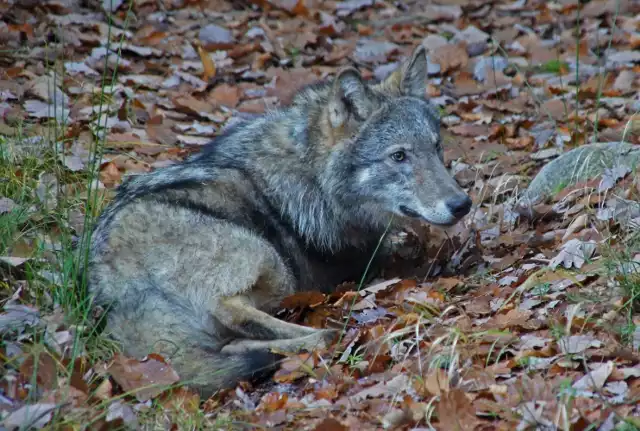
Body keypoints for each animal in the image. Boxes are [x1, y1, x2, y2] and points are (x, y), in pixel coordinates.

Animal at [85, 44, 472, 398]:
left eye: (436, 148)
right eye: (399, 156)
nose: (462, 204)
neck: (313, 175)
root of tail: (109, 282)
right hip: (270, 260)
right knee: (232, 312)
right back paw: (322, 336)